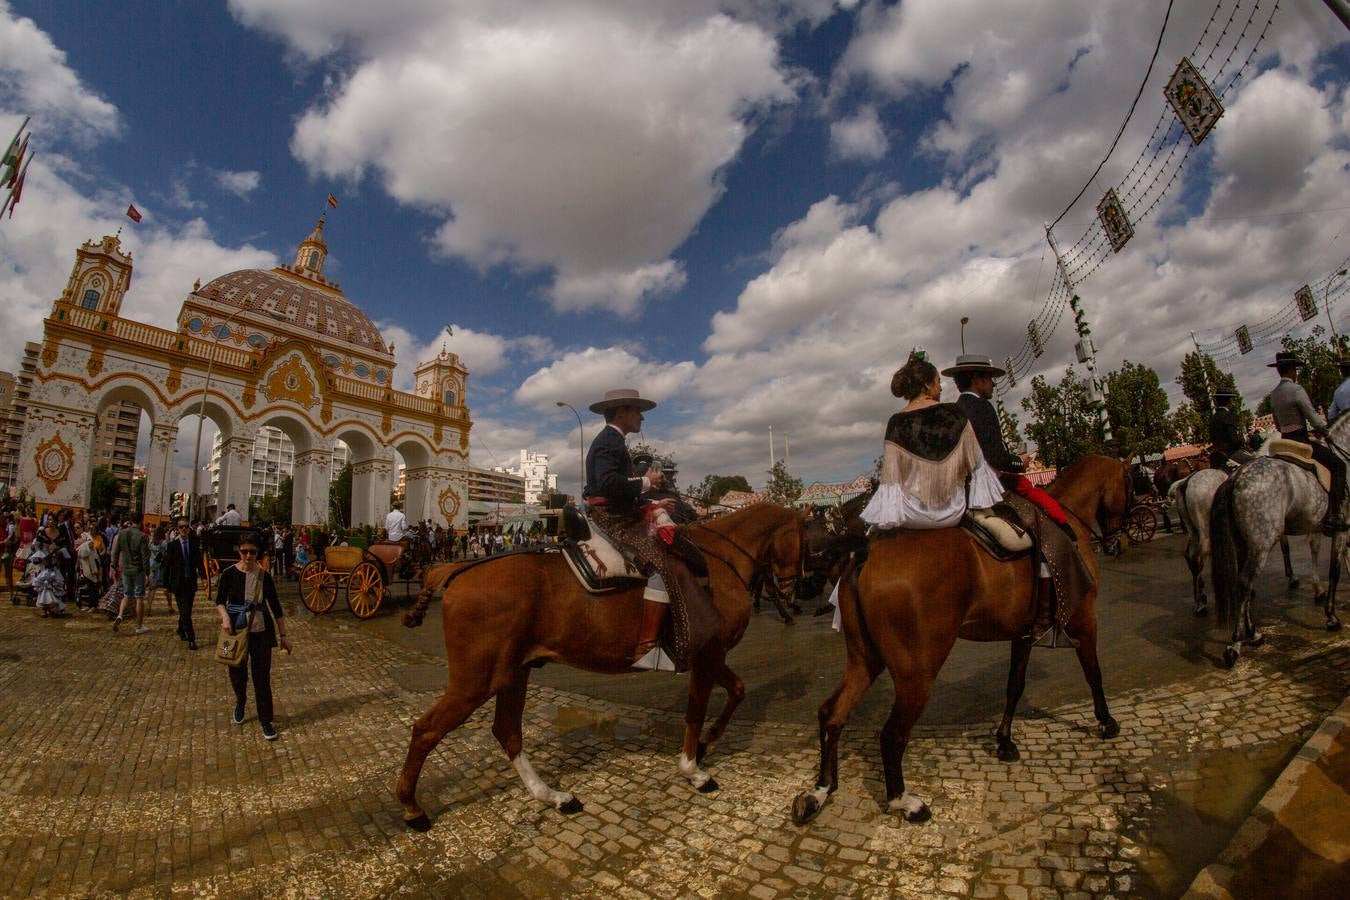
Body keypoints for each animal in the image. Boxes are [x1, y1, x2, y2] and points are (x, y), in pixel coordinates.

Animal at [394, 499, 804, 831]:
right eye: (802, 538)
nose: (790, 595)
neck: (717, 562)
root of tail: (455, 572)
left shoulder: (712, 658)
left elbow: (738, 691)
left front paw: (706, 744)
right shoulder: (708, 655)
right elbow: (697, 711)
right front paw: (693, 768)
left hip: (513, 673)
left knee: (507, 731)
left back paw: (553, 796)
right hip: (475, 682)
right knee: (426, 730)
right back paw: (412, 807)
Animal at [788, 453, 1134, 825]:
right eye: (1131, 481)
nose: (1119, 542)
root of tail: (868, 550)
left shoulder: (1024, 632)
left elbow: (1014, 685)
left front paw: (1005, 742)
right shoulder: (1084, 619)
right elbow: (1093, 673)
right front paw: (1107, 722)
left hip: (865, 660)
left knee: (832, 713)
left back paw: (819, 791)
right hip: (917, 673)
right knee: (892, 734)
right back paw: (904, 801)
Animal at [1209, 423, 1344, 669]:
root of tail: (1235, 478)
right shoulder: (1342, 528)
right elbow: (1335, 570)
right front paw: (1331, 616)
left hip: (1245, 545)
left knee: (1243, 583)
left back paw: (1253, 634)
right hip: (1261, 544)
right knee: (1244, 583)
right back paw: (1234, 645)